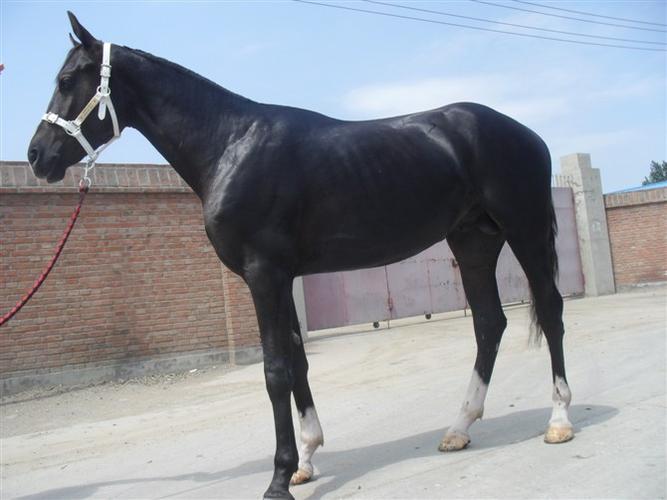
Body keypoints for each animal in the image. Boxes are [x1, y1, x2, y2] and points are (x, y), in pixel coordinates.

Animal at [28, 12, 574, 499]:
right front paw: (306, 461)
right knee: (488, 324)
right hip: (473, 241)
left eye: (68, 79)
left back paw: (559, 420)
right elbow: (296, 359)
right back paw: (459, 428)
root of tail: (527, 134)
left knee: (549, 311)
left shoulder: (264, 274)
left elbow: (275, 371)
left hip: (524, 231)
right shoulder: (280, 276)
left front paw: (277, 480)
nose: (37, 156)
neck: (230, 144)